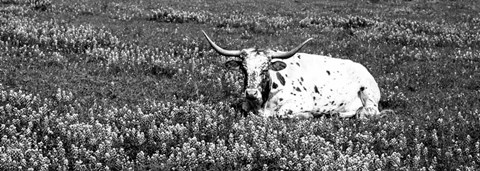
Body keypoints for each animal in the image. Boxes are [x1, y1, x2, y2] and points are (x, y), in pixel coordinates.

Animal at [202, 30, 382, 119]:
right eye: (243, 69)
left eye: (265, 69)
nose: (251, 93)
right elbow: (244, 108)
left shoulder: (302, 102)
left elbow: (281, 114)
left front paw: (308, 115)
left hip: (368, 95)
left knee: (368, 112)